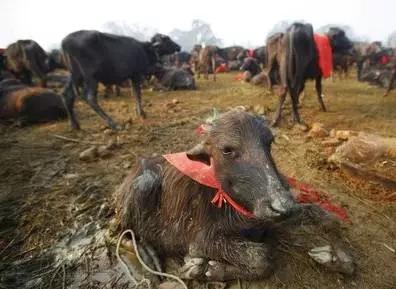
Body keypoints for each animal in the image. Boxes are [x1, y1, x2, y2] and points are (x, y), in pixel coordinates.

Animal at [114, 109, 356, 280]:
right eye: (227, 150)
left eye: (269, 142)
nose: (283, 205)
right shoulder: (201, 241)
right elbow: (261, 258)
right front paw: (207, 269)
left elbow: (324, 216)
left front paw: (336, 256)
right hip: (143, 186)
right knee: (122, 231)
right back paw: (147, 254)